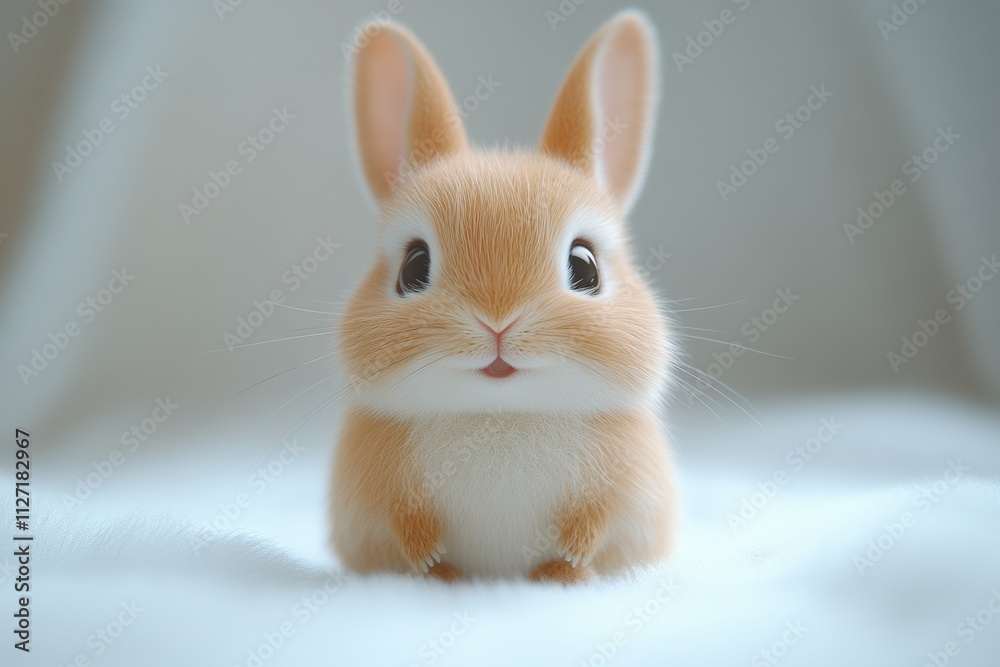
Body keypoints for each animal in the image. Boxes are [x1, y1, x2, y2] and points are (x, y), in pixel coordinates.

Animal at [330, 10, 678, 583]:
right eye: (413, 268)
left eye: (585, 267)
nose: (498, 322)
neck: (498, 416)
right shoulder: (382, 488)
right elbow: (404, 521)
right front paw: (429, 558)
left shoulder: (620, 483)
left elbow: (594, 523)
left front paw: (569, 561)